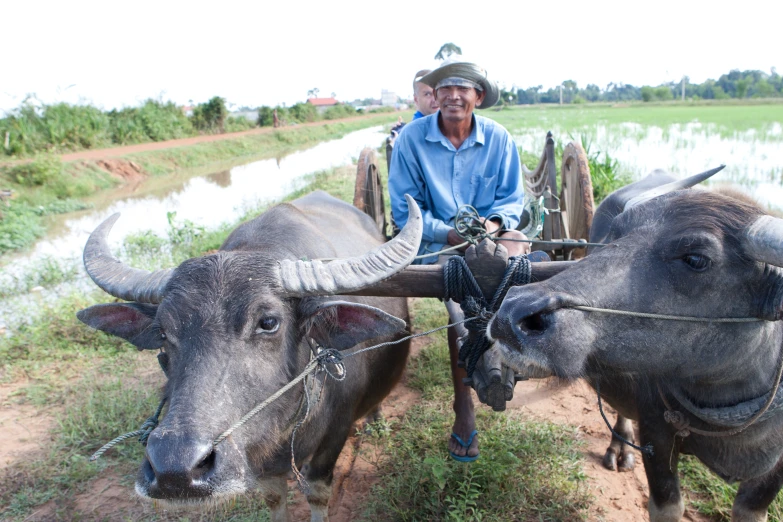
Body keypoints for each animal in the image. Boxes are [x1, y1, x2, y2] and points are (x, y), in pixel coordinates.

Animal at [75, 191, 422, 520]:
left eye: (268, 322)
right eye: (163, 332)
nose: (175, 469)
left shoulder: (334, 436)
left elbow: (317, 493)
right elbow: (273, 497)